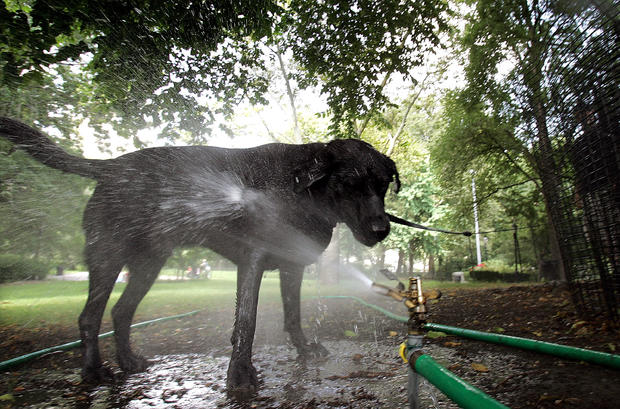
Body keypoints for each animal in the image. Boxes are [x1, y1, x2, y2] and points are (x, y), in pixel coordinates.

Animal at [0, 117, 400, 392]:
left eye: (382, 185)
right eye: (349, 184)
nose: (382, 229)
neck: (300, 188)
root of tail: (112, 165)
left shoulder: (293, 266)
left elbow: (293, 314)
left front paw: (303, 348)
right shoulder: (253, 261)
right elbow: (246, 322)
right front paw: (240, 374)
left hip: (149, 263)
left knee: (121, 311)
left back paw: (128, 361)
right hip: (108, 255)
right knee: (89, 317)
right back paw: (94, 371)